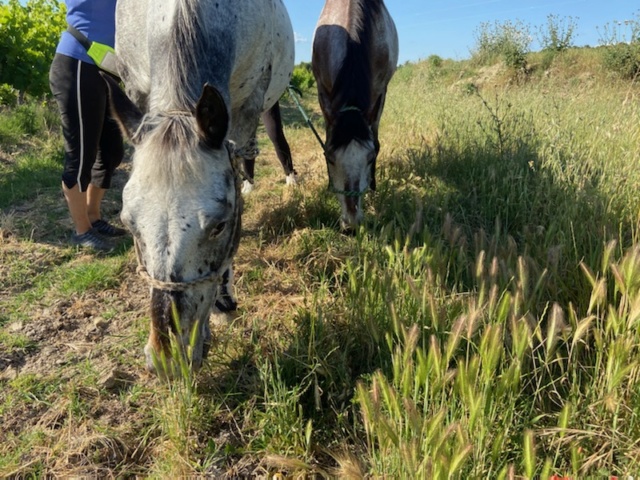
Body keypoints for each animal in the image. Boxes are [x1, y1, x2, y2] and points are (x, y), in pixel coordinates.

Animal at [105, 0, 296, 374]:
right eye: (129, 225)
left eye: (220, 225)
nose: (168, 358)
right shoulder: (136, 92)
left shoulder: (246, 102)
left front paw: (223, 304)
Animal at [312, 0, 398, 230]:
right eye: (329, 158)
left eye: (370, 157)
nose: (351, 225)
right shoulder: (322, 90)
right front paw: (329, 184)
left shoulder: (380, 91)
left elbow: (375, 139)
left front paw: (373, 187)